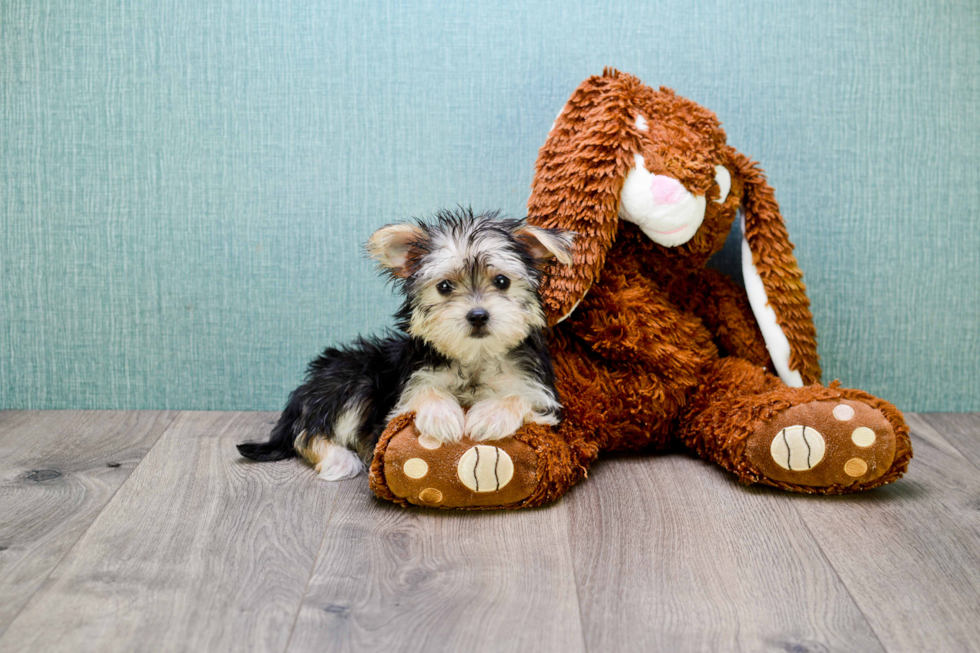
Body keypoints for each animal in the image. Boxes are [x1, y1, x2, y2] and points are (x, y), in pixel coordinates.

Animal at [237, 209, 576, 478]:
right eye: (444, 287)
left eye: (502, 281)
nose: (478, 315)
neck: (474, 358)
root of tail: (307, 388)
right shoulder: (410, 382)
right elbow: (424, 390)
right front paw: (442, 418)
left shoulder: (539, 392)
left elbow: (520, 395)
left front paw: (490, 415)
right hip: (353, 379)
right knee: (306, 433)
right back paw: (340, 459)